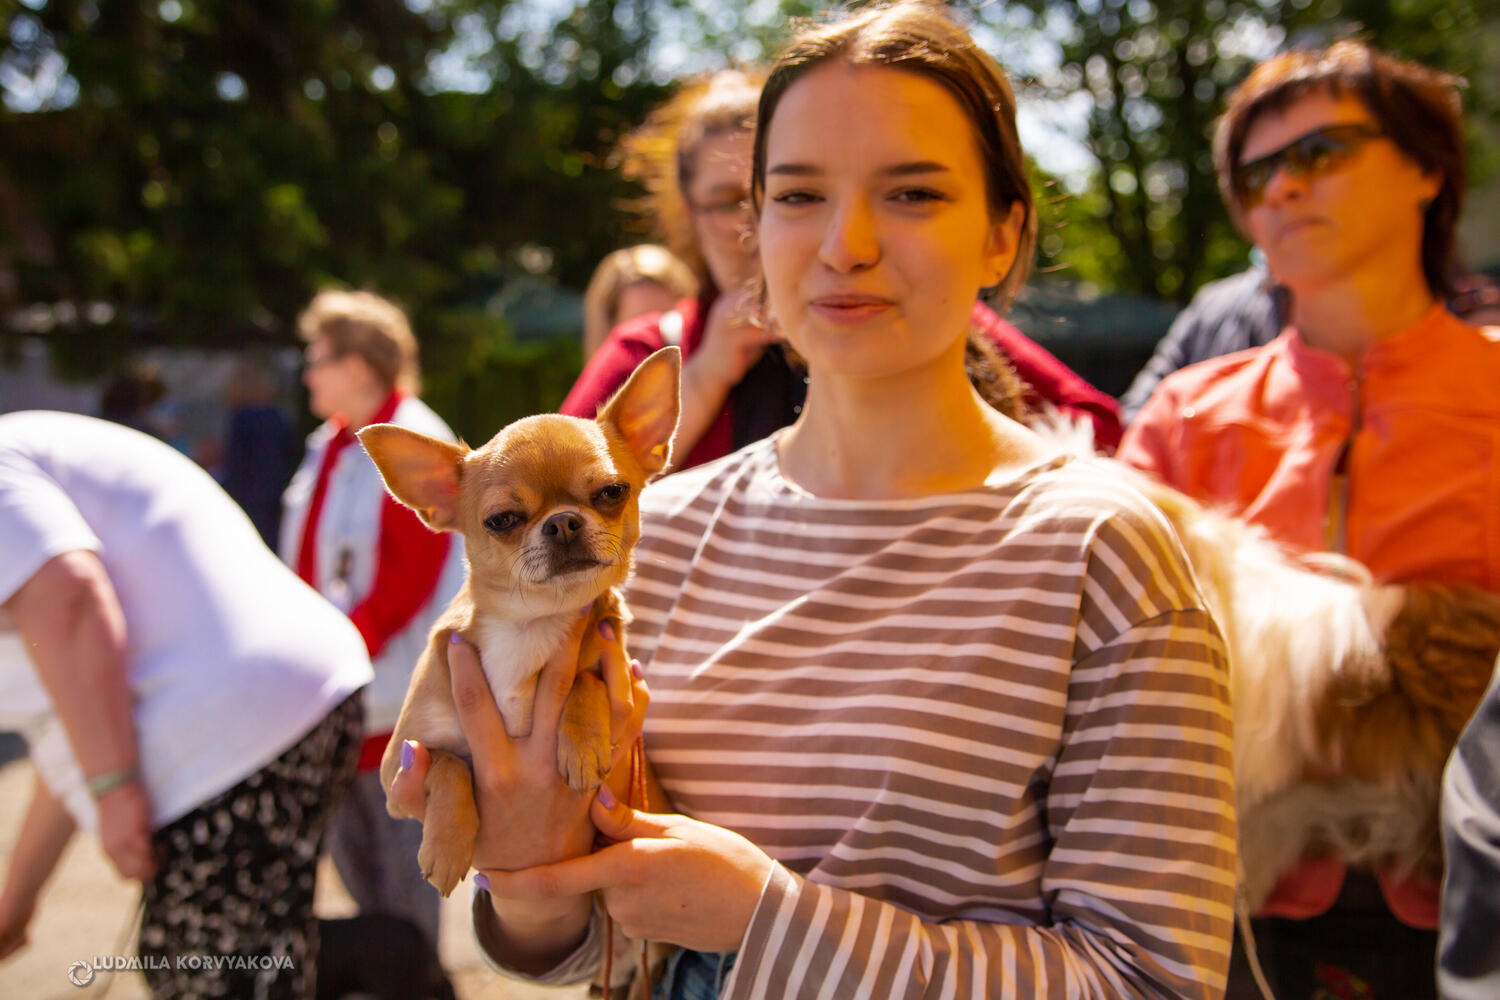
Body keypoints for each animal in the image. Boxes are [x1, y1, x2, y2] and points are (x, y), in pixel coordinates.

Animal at [357, 346, 681, 896]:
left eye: (612, 492)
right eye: (502, 520)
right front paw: (446, 844)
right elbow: (449, 765)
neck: (531, 624)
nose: (563, 521)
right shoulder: (397, 774)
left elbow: (588, 679)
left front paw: (582, 741)